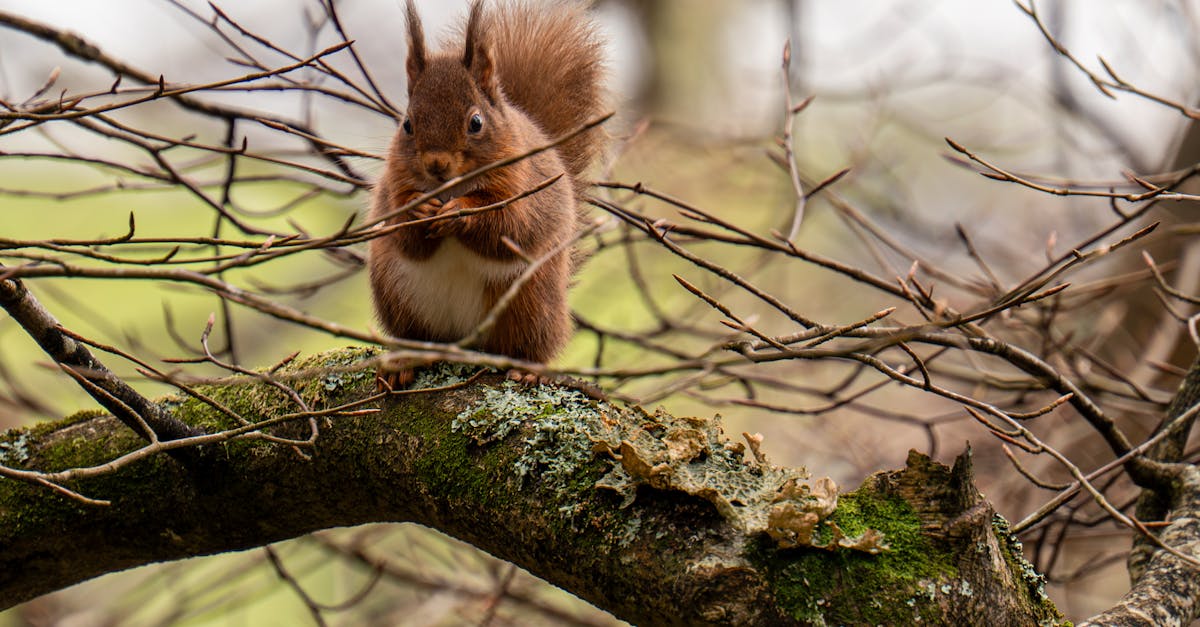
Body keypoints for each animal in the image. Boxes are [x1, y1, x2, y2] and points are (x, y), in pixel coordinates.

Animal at [368, 0, 608, 389]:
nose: (437, 164)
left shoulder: (523, 189)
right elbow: (404, 236)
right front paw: (417, 212)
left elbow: (508, 229)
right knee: (414, 335)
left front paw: (458, 213)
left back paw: (526, 368)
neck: (451, 188)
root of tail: (463, 340)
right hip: (397, 296)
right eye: (407, 125)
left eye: (476, 122)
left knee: (527, 344)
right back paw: (402, 362)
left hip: (531, 303)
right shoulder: (393, 187)